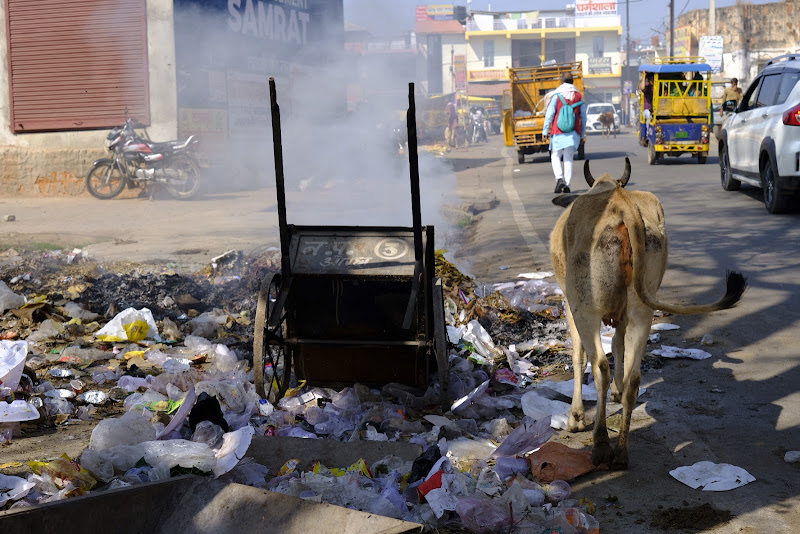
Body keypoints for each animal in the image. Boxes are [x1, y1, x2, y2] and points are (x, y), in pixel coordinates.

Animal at [548, 158, 748, 468]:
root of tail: (621, 203)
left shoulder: (570, 305)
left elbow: (579, 356)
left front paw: (576, 417)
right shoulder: (621, 316)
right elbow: (618, 345)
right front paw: (616, 392)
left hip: (585, 309)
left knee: (599, 366)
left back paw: (601, 445)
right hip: (641, 311)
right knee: (634, 377)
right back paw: (621, 451)